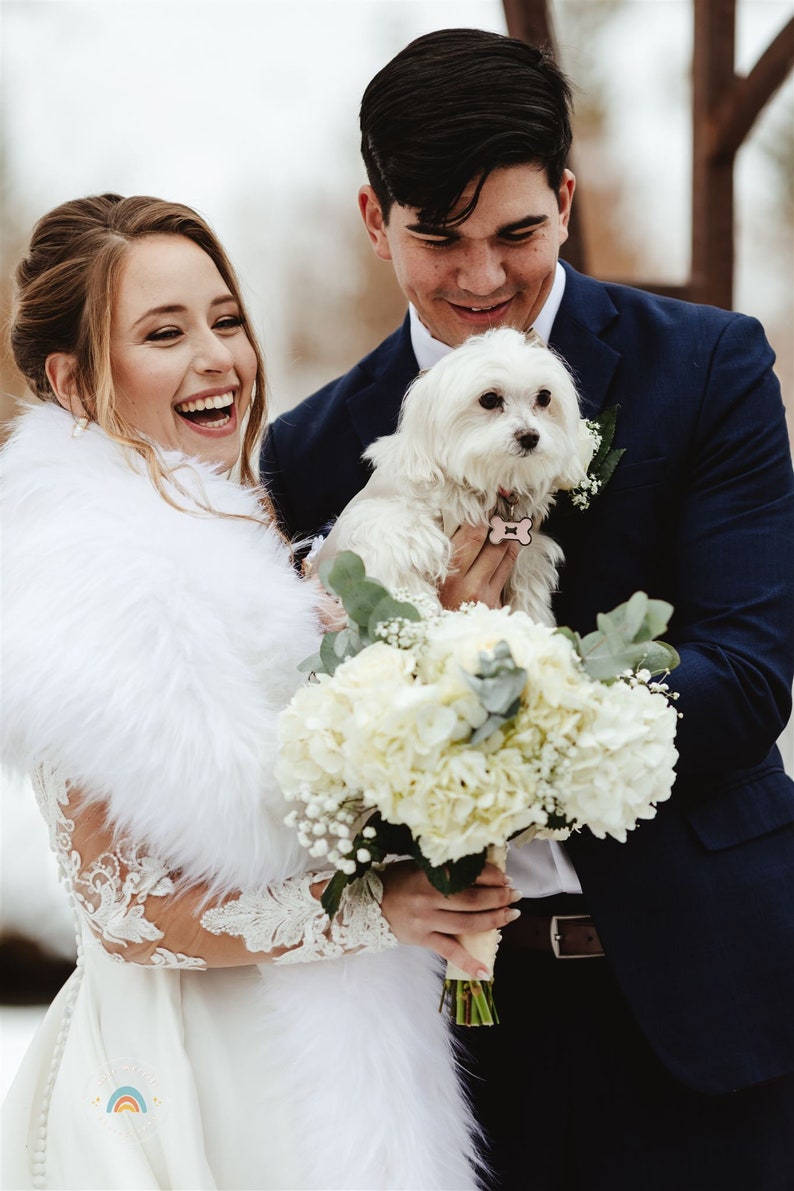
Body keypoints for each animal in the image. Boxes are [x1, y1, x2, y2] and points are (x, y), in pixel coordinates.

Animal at [314, 326, 588, 624]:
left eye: (544, 397)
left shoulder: (528, 555)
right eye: (489, 399)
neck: (471, 485)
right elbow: (401, 571)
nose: (529, 436)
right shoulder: (388, 527)